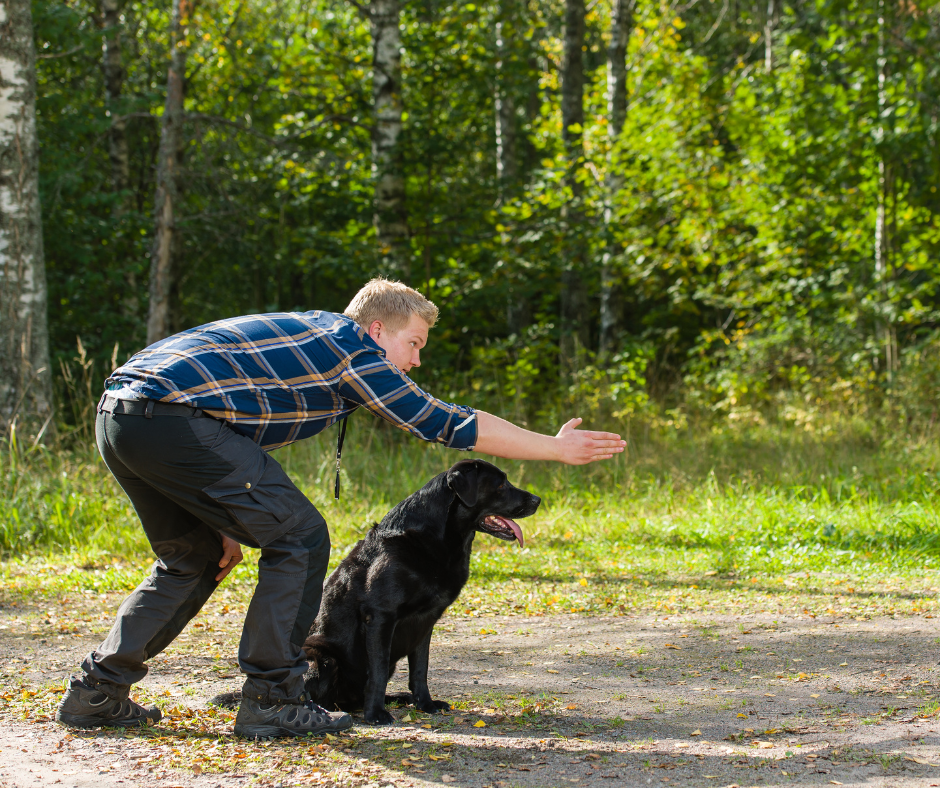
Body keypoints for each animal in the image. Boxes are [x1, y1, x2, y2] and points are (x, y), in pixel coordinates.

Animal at [298, 458, 540, 724]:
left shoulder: (425, 621)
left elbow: (420, 669)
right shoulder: (381, 616)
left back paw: (399, 698)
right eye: (501, 484)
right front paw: (376, 714)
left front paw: (425, 703)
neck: (436, 539)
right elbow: (378, 671)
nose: (538, 499)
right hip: (320, 658)